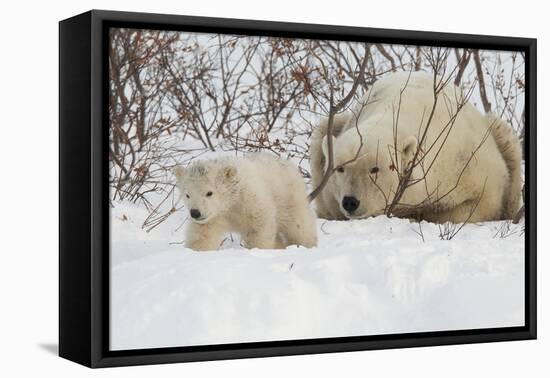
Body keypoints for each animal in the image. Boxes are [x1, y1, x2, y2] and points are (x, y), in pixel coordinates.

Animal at [175, 152, 316, 252]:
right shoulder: (213, 217)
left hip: (288, 196)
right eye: (187, 194)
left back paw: (307, 245)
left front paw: (258, 250)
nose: (195, 213)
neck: (230, 202)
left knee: (298, 225)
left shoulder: (251, 202)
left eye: (209, 193)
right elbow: (202, 235)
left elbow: (259, 229)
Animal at [312, 71, 524, 223]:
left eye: (375, 169)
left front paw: (421, 214)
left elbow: (483, 202)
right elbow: (329, 205)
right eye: (340, 168)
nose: (350, 202)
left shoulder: (467, 162)